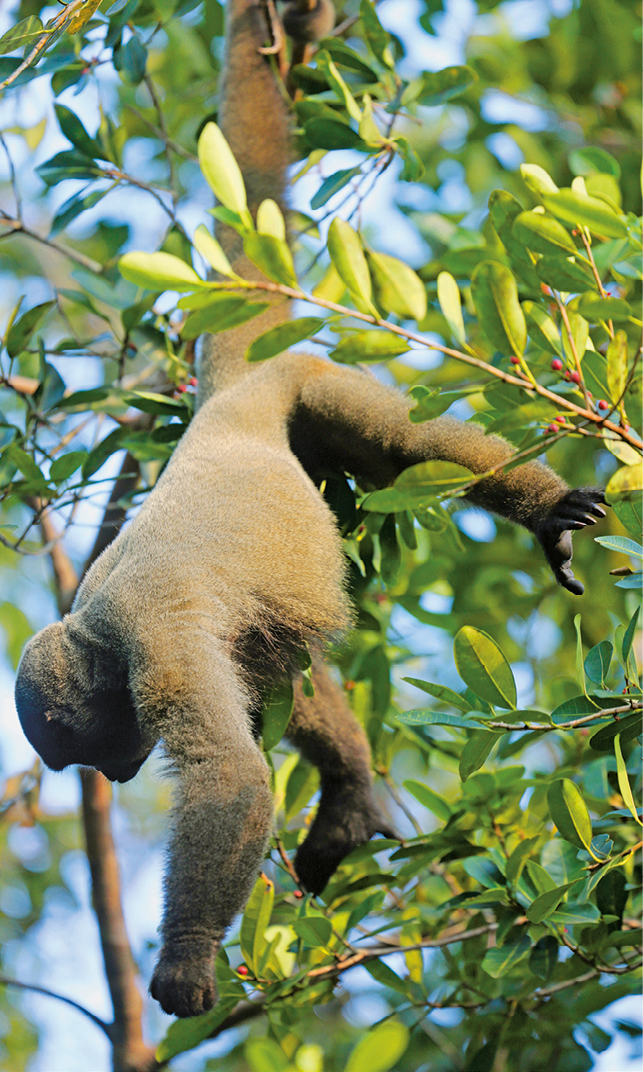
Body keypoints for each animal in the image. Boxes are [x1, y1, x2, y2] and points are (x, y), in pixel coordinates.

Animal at [15, 0, 604, 1016]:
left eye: (76, 751)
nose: (107, 773)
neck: (93, 630)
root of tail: (225, 401)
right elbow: (261, 709)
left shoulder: (153, 641)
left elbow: (229, 775)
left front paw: (183, 962)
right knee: (284, 658)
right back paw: (352, 796)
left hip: (309, 380)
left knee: (406, 453)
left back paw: (538, 509)